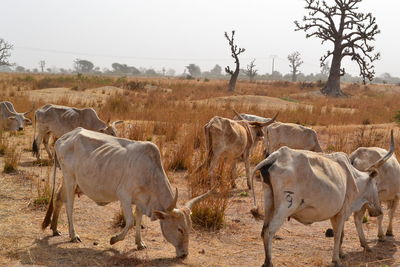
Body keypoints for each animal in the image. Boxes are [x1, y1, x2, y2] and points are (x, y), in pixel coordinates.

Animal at [41, 129, 212, 258]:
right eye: (179, 229)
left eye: (189, 228)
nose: (184, 254)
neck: (149, 172)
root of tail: (62, 138)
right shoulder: (124, 196)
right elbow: (130, 222)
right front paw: (114, 240)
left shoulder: (141, 201)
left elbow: (138, 219)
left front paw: (139, 243)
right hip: (70, 178)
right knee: (69, 205)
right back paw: (73, 235)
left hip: (70, 182)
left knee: (58, 199)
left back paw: (55, 229)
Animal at [252, 132, 392, 267]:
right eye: (375, 184)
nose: (379, 211)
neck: (353, 177)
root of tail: (276, 156)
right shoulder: (342, 212)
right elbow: (338, 235)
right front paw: (336, 260)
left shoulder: (335, 213)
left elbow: (340, 234)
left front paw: (341, 254)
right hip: (286, 206)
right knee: (269, 231)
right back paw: (269, 262)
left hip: (269, 202)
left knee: (264, 230)